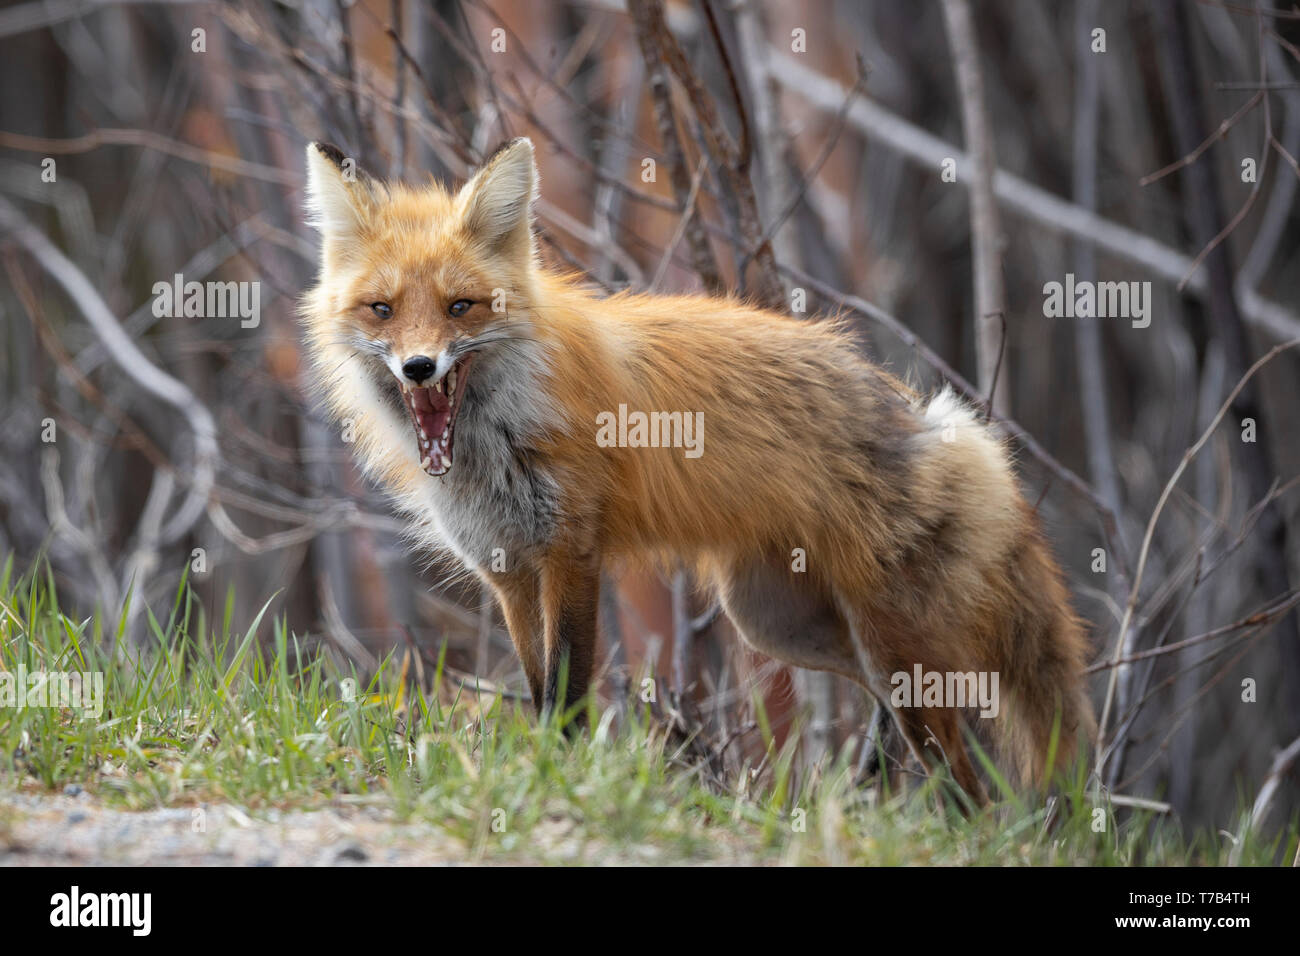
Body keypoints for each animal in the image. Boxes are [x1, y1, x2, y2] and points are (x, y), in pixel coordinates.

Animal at [299, 137, 1094, 804]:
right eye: (382, 310)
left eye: (460, 307)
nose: (419, 367)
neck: (496, 435)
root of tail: (935, 418)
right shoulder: (509, 571)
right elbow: (536, 684)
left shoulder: (571, 555)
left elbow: (567, 693)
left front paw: (563, 776)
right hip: (780, 624)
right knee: (894, 719)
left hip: (890, 652)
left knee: (968, 780)